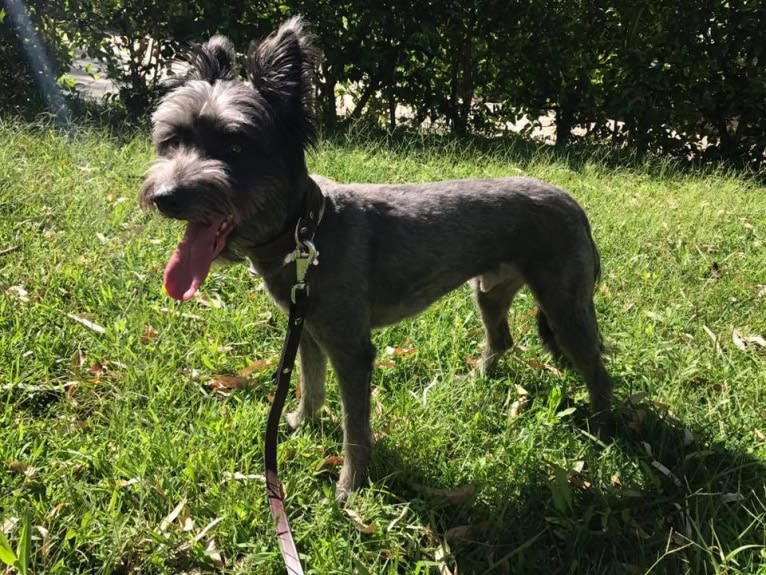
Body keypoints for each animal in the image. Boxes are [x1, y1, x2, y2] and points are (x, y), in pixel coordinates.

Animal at [141, 16, 616, 504]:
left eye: (235, 148)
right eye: (172, 141)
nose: (165, 196)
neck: (307, 231)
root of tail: (575, 206)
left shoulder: (351, 350)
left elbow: (355, 429)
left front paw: (349, 487)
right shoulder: (307, 330)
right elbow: (310, 386)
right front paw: (300, 425)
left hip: (565, 306)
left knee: (597, 369)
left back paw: (603, 428)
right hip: (489, 291)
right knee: (501, 340)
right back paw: (475, 381)